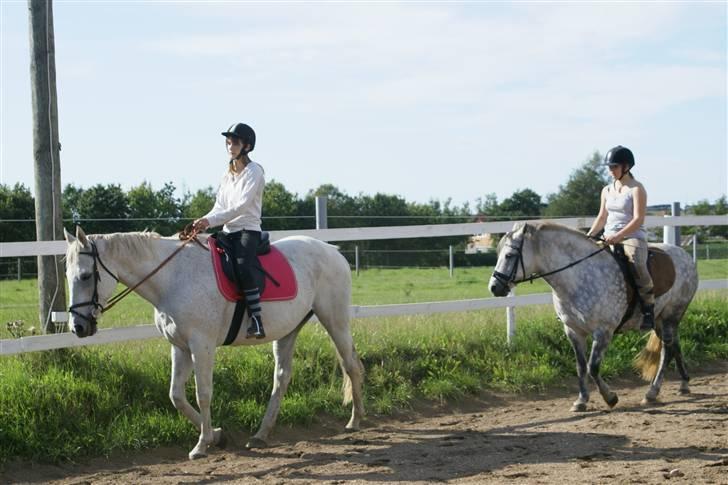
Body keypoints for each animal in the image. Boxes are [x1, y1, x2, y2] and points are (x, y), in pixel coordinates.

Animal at [62, 226, 364, 458]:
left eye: (86, 276)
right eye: (68, 276)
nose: (78, 327)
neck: (172, 279)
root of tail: (333, 251)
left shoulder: (201, 345)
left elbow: (203, 393)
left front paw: (202, 445)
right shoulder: (180, 347)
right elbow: (176, 396)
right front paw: (217, 435)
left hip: (335, 320)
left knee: (351, 365)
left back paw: (355, 420)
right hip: (288, 331)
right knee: (282, 377)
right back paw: (261, 434)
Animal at [490, 221, 700, 410]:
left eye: (509, 255)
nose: (494, 287)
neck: (577, 277)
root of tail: (684, 255)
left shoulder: (603, 331)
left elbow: (593, 367)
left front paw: (610, 398)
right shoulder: (573, 330)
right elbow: (581, 366)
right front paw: (581, 400)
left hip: (672, 316)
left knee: (667, 351)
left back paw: (652, 392)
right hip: (660, 320)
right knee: (674, 346)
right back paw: (684, 384)